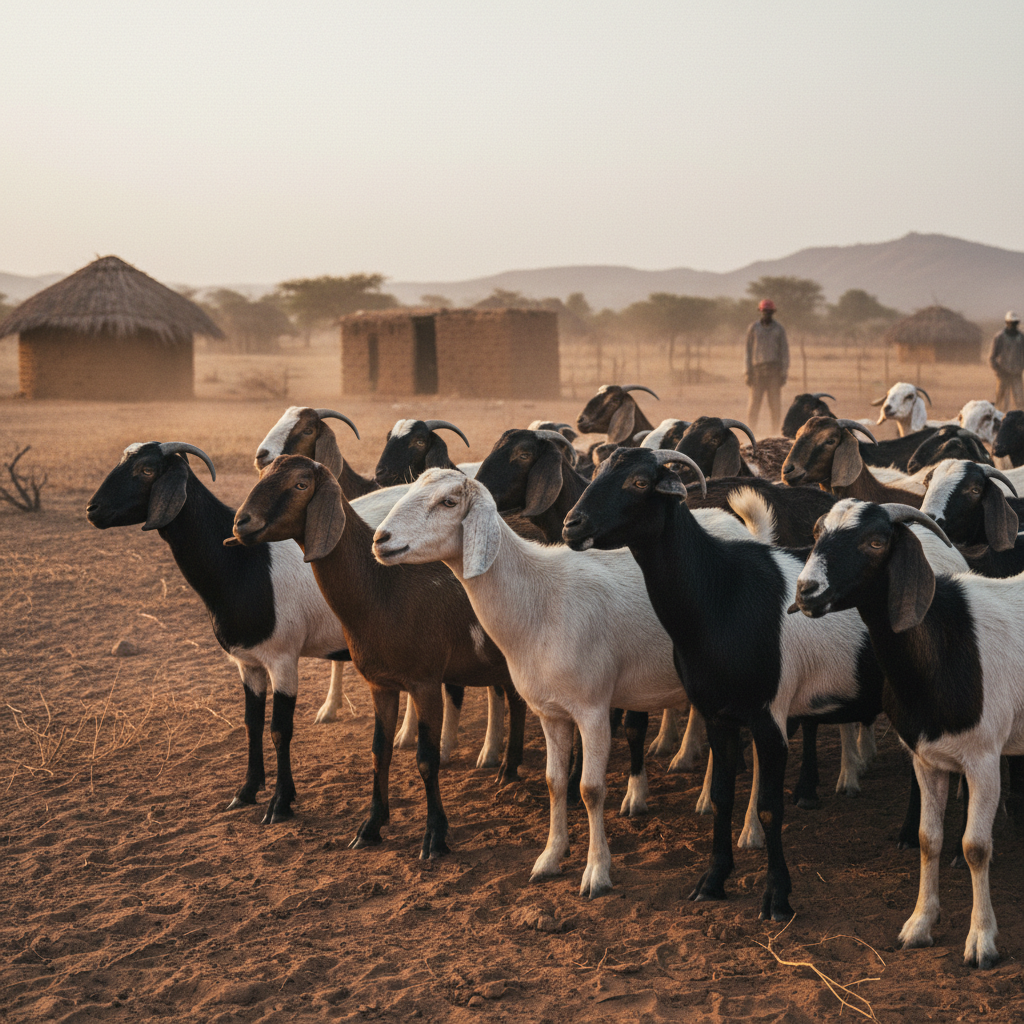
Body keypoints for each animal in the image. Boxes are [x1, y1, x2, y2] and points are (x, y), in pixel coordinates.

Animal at [228, 454, 530, 859]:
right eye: (262, 473)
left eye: (301, 485)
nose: (241, 523)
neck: (384, 589)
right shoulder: (380, 684)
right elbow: (379, 752)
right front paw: (371, 826)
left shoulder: (425, 683)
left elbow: (426, 760)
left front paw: (435, 837)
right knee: (516, 701)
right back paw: (509, 770)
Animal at [559, 447, 967, 920]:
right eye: (598, 471)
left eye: (640, 482)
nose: (572, 525)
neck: (720, 592)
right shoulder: (717, 714)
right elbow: (721, 795)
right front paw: (712, 882)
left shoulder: (769, 716)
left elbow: (771, 808)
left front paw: (777, 898)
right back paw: (907, 832)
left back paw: (940, 846)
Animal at [793, 499, 1024, 968]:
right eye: (817, 532)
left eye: (876, 542)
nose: (806, 590)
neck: (944, 643)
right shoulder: (927, 759)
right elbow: (927, 839)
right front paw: (919, 925)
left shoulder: (984, 759)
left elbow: (975, 847)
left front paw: (981, 941)